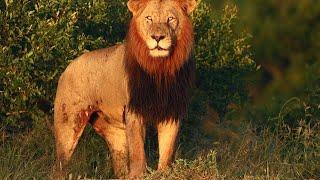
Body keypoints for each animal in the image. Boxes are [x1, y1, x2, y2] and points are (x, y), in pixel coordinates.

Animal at [53, 0, 196, 178]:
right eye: (149, 18)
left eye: (170, 19)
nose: (157, 37)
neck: (160, 69)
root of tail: (67, 68)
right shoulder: (134, 111)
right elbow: (137, 149)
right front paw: (138, 175)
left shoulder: (171, 112)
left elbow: (167, 149)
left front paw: (164, 173)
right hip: (68, 126)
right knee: (60, 164)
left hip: (114, 133)